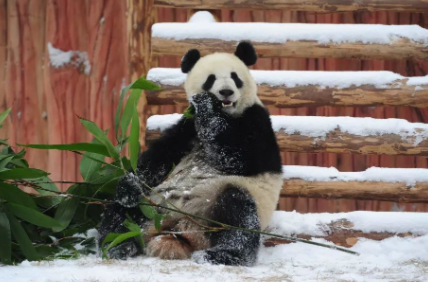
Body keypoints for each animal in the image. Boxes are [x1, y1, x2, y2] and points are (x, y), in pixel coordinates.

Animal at [98, 41, 282, 266]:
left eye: (235, 77)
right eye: (211, 78)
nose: (226, 92)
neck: (227, 115)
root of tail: (179, 228)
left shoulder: (256, 121)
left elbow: (239, 158)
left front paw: (208, 109)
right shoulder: (186, 127)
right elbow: (160, 156)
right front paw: (130, 184)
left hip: (218, 204)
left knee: (237, 212)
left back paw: (223, 254)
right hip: (152, 205)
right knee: (120, 212)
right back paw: (118, 244)